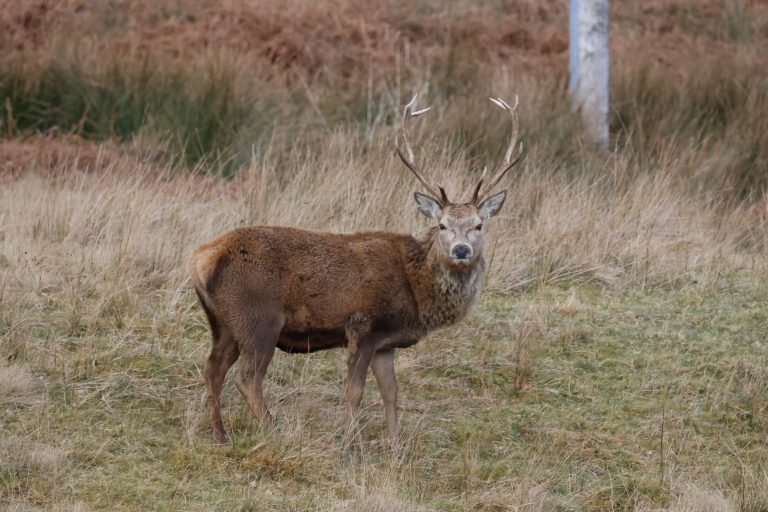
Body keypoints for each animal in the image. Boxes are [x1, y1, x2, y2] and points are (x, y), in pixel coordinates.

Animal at [188, 95, 520, 444]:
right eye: (442, 225)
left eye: (479, 225)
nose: (461, 250)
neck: (415, 288)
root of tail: (201, 259)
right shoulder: (363, 327)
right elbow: (354, 392)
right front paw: (349, 445)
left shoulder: (386, 341)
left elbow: (391, 393)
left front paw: (395, 446)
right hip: (259, 318)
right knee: (248, 378)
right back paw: (273, 431)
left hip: (223, 322)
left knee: (213, 369)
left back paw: (220, 435)